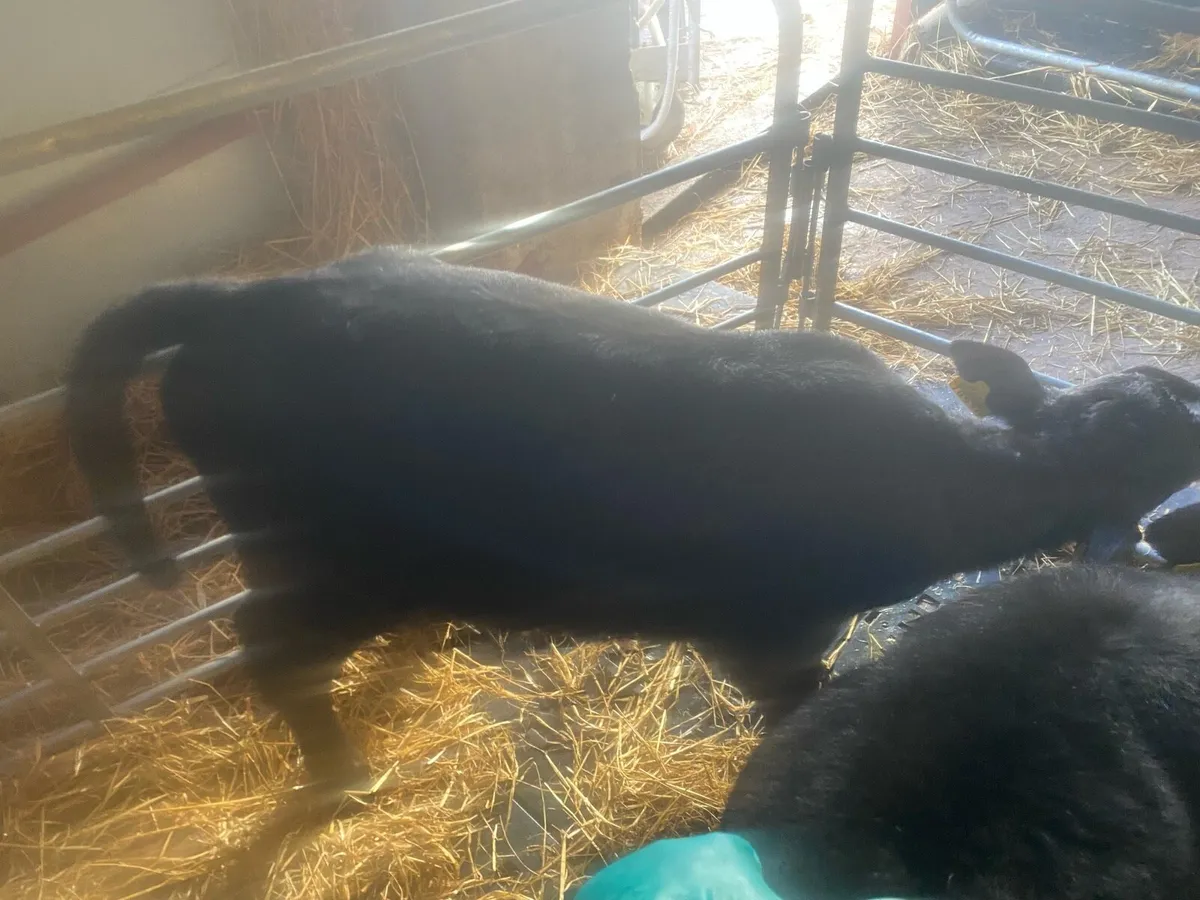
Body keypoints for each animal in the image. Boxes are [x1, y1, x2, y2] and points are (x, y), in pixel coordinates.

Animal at [63, 245, 1200, 791]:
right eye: (1179, 422)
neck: (957, 481)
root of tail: (242, 301)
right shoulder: (775, 630)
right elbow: (796, 700)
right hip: (321, 558)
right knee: (271, 646)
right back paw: (344, 774)